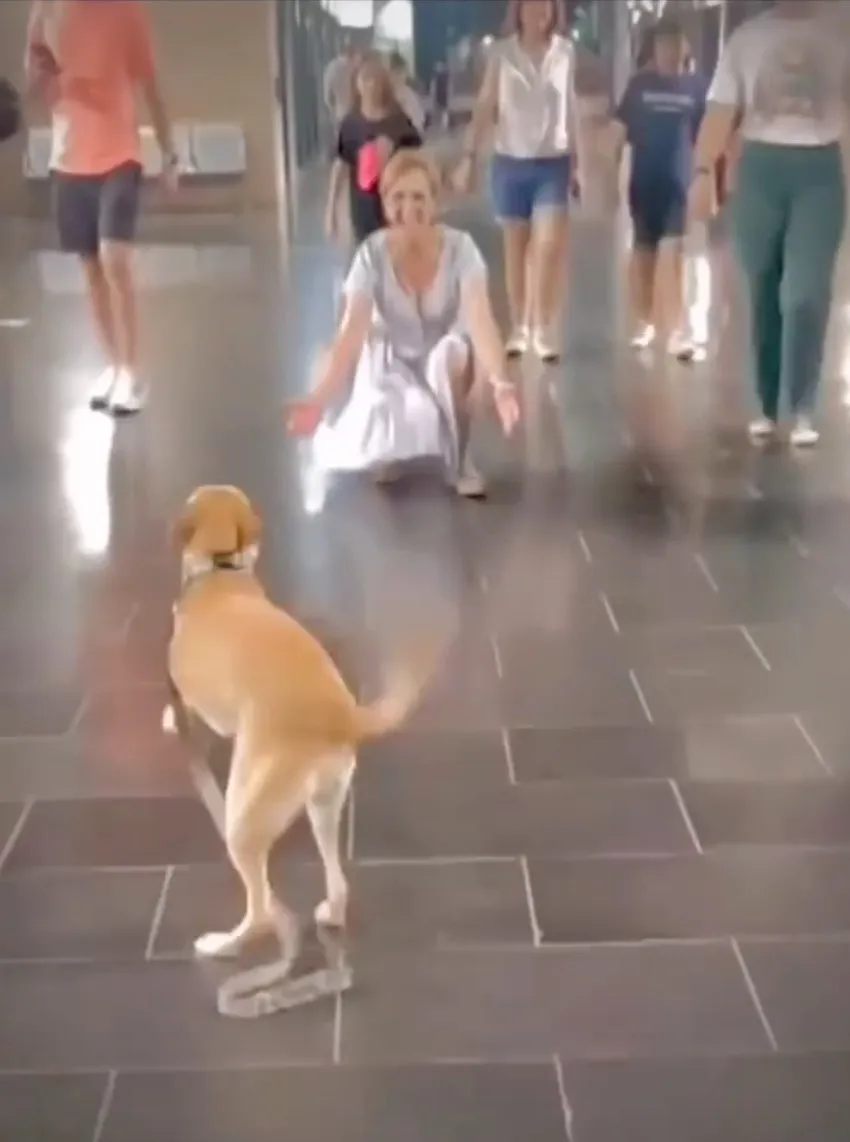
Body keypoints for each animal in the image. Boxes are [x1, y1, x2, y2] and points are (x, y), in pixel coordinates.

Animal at [164, 486, 431, 959]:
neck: (220, 569)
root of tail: (340, 715)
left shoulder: (191, 698)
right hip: (322, 803)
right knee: (337, 881)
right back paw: (332, 913)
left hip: (243, 820)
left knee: (260, 910)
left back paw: (222, 944)